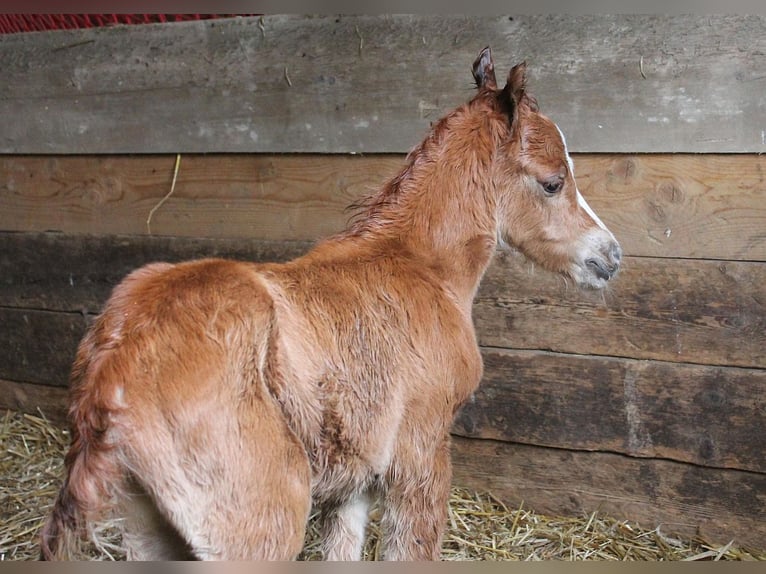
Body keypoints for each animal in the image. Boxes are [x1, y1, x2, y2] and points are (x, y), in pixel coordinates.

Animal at [40, 47, 621, 561]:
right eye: (553, 182)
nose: (610, 256)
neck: (419, 267)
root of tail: (112, 370)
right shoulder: (421, 454)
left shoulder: (355, 480)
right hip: (259, 524)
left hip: (150, 527)